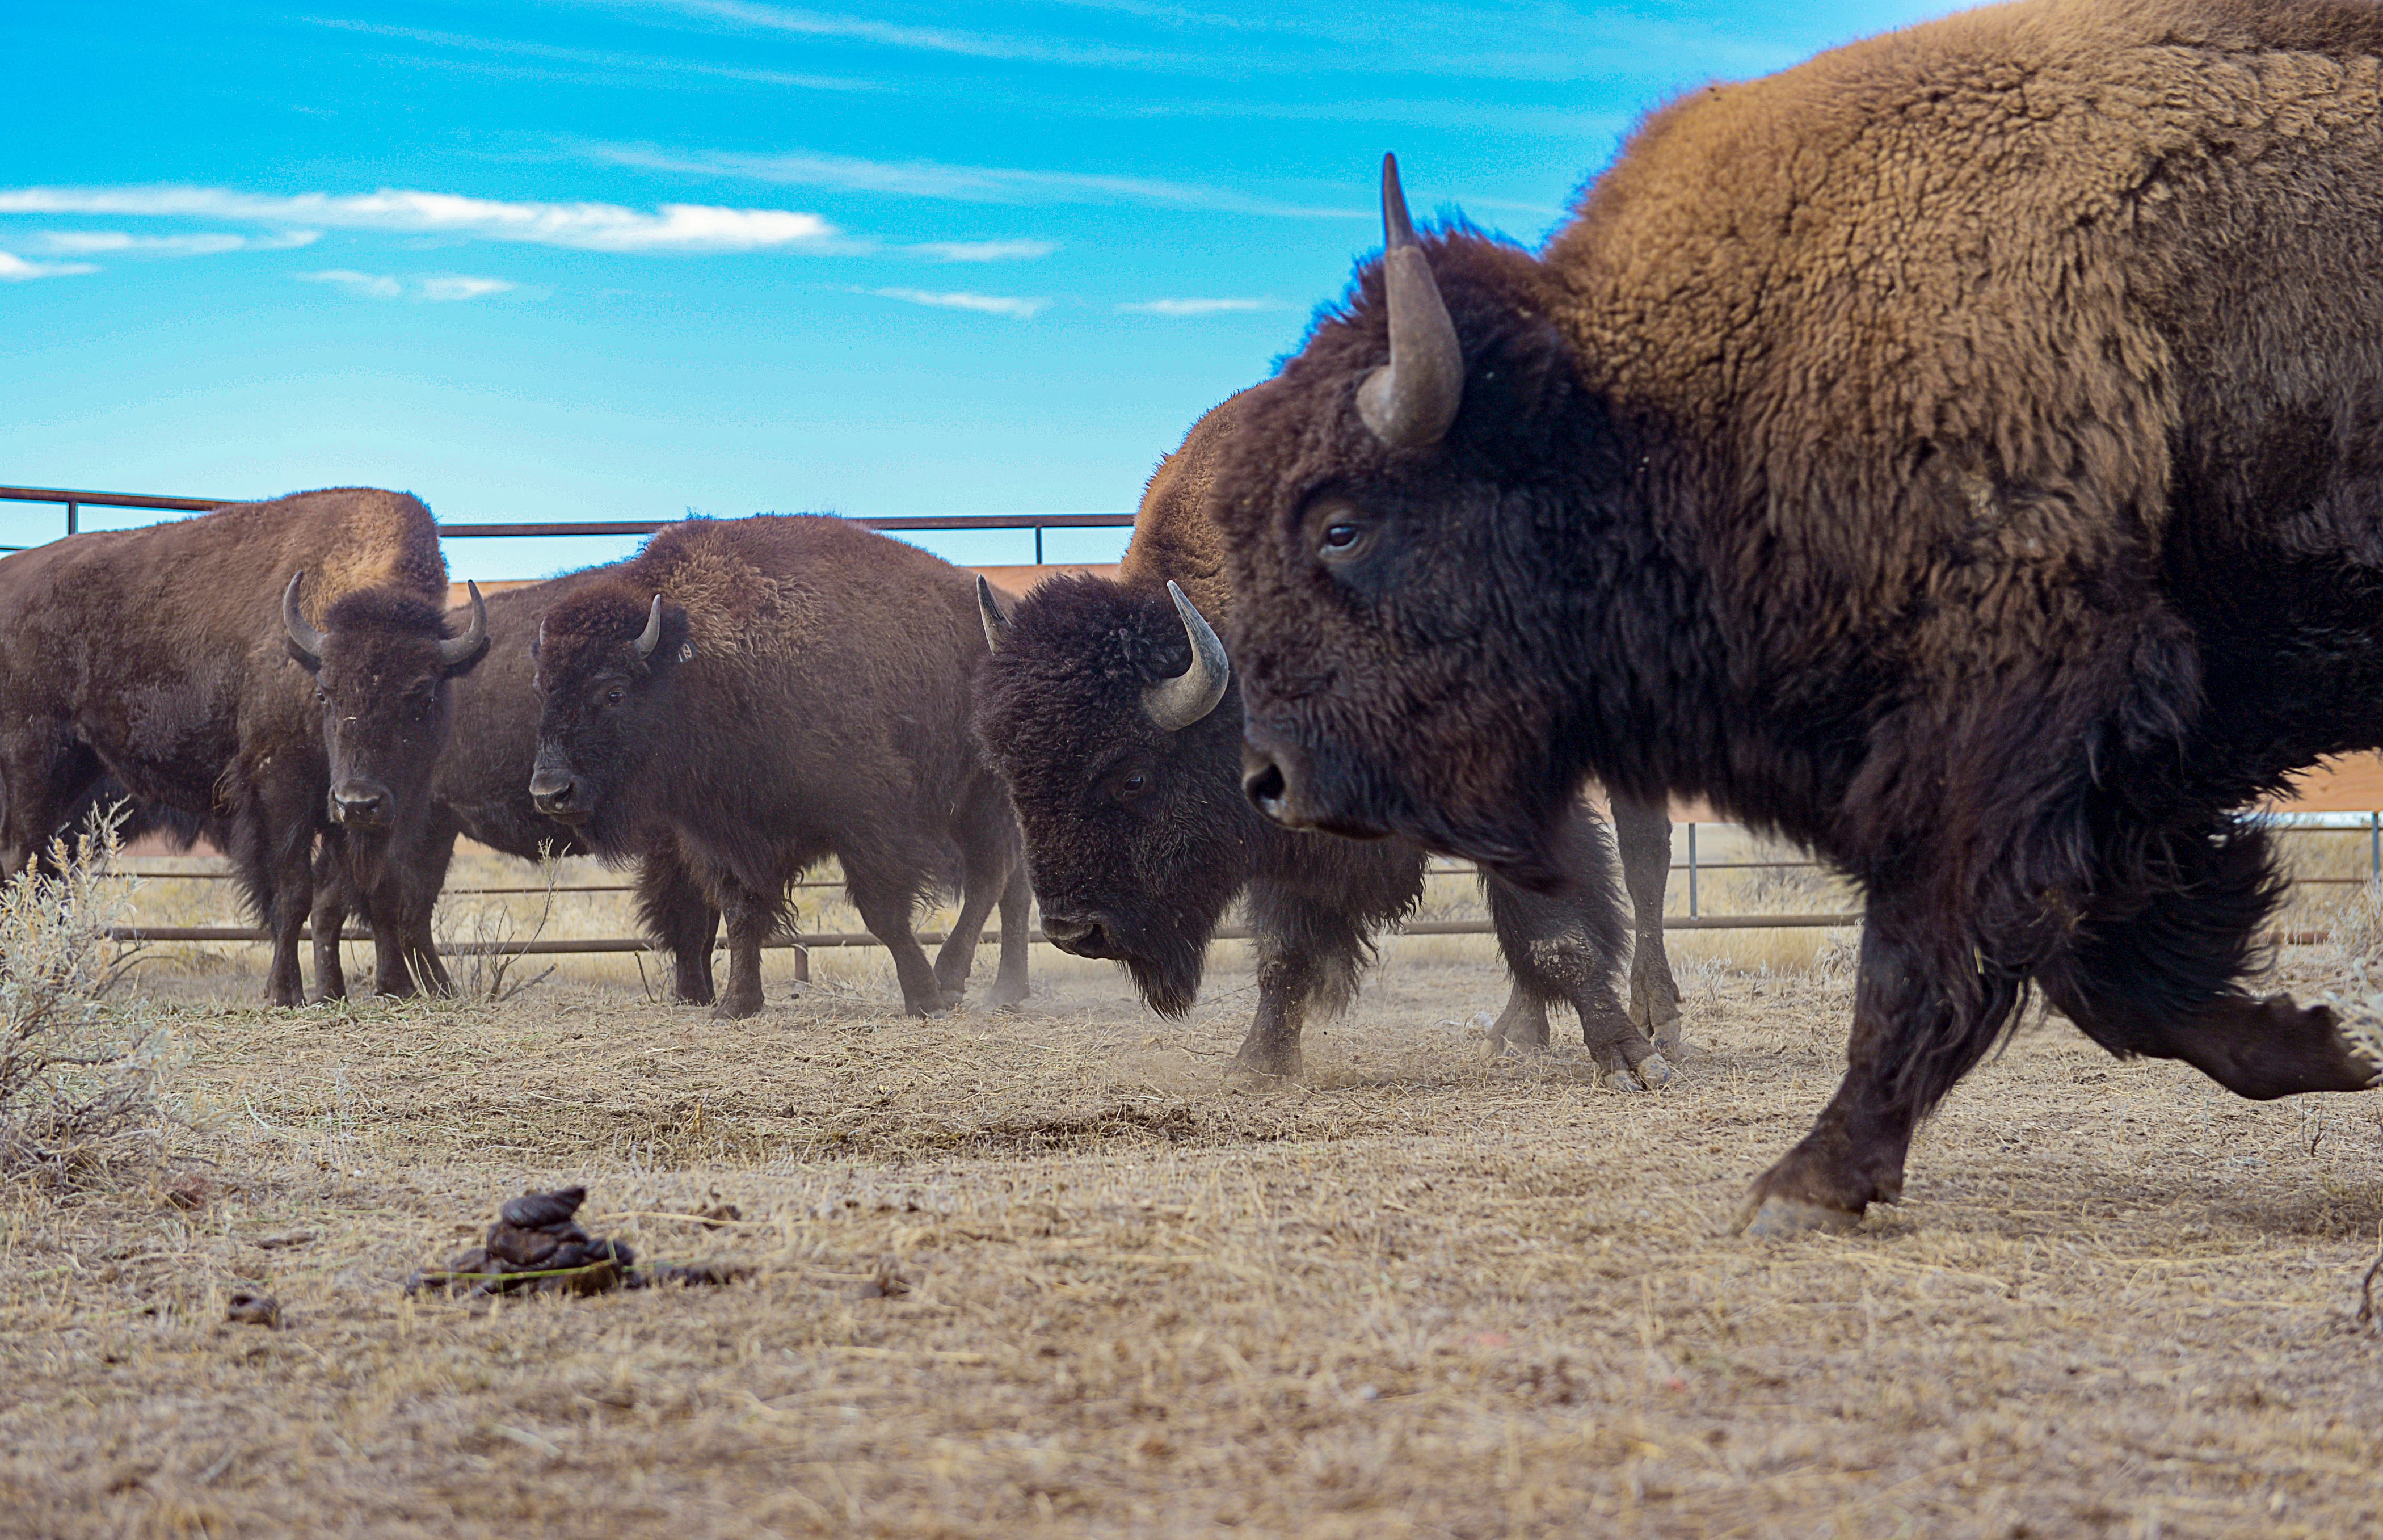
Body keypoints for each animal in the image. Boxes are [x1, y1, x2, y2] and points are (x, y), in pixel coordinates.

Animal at [0, 489, 486, 1005]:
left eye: (424, 694)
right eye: (325, 693)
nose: (359, 800)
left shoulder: (388, 804)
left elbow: (371, 890)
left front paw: (385, 988)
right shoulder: (279, 787)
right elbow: (294, 891)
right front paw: (284, 992)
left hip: (77, 772)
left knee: (47, 867)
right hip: (32, 760)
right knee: (22, 861)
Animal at [533, 522, 1034, 1025]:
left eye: (615, 692)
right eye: (542, 688)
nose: (550, 792)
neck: (706, 671)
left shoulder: (868, 818)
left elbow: (883, 913)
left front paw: (924, 998)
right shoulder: (723, 838)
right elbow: (740, 915)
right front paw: (736, 1004)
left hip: (985, 797)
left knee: (991, 878)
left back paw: (953, 978)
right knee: (1012, 888)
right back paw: (1006, 989)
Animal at [967, 398, 1677, 1087]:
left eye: (1134, 776)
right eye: (1013, 779)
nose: (1072, 928)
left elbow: (1557, 933)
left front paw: (1629, 1059)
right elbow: (1287, 949)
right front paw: (1258, 1066)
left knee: (1643, 856)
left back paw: (1658, 1020)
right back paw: (1518, 1032)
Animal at [1210, 0, 2383, 1230]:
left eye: (1341, 525)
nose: (1270, 778)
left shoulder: (2000, 725)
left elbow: (1932, 947)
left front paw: (1806, 1180)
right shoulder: (2127, 763)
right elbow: (2115, 965)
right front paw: (2322, 1044)